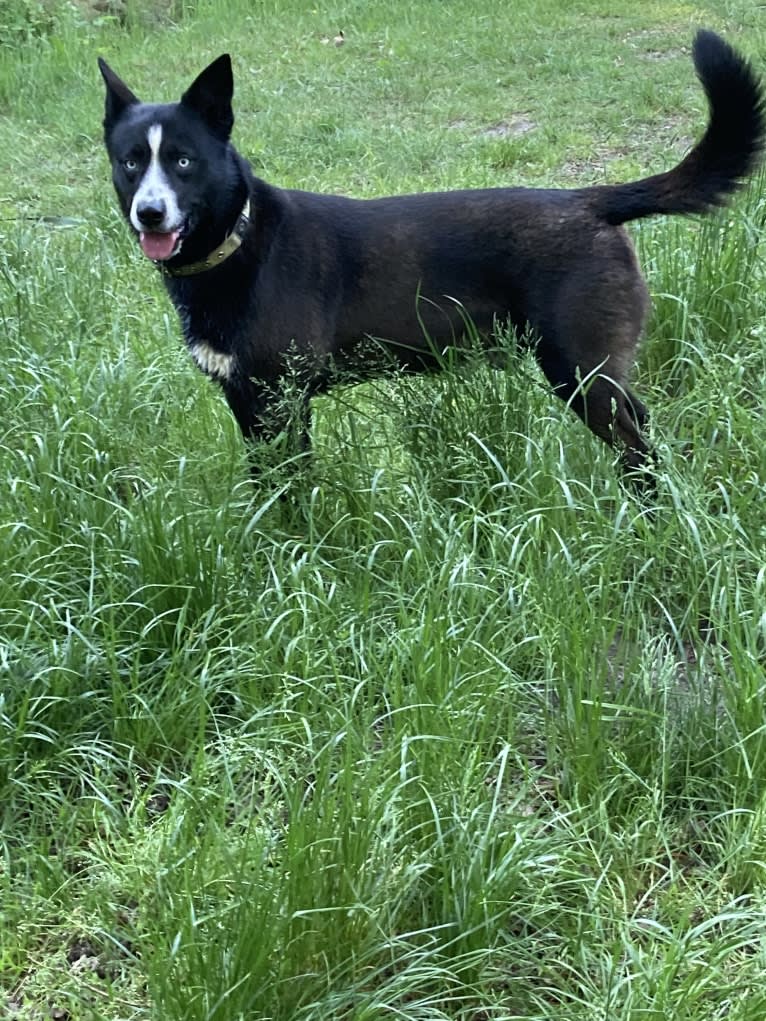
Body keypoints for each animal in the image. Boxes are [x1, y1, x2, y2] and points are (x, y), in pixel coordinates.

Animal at [99, 27, 763, 481]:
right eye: (131, 162)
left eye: (183, 160)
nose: (149, 213)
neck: (237, 245)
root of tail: (587, 200)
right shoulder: (246, 402)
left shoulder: (282, 402)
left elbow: (295, 495)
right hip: (598, 374)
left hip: (580, 374)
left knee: (640, 455)